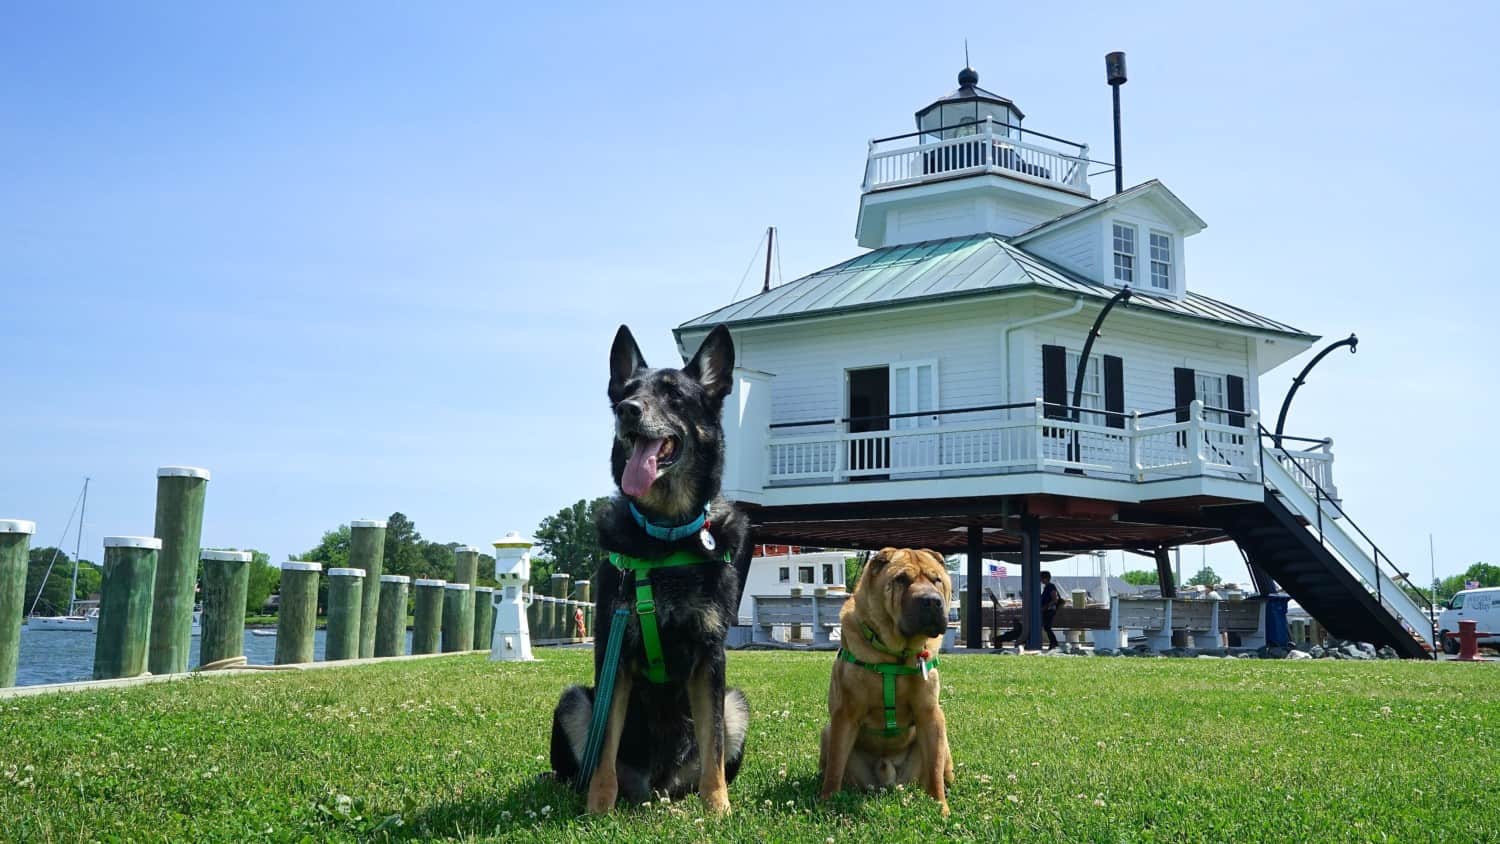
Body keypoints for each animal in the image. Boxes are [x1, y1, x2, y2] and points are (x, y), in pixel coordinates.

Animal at [552, 323, 756, 809]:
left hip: (737, 704)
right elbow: (605, 745)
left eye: (674, 395)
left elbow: (713, 743)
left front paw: (717, 807)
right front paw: (598, 807)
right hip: (573, 701)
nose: (627, 411)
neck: (665, 535)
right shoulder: (615, 655)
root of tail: (657, 784)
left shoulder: (710, 658)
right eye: (626, 393)